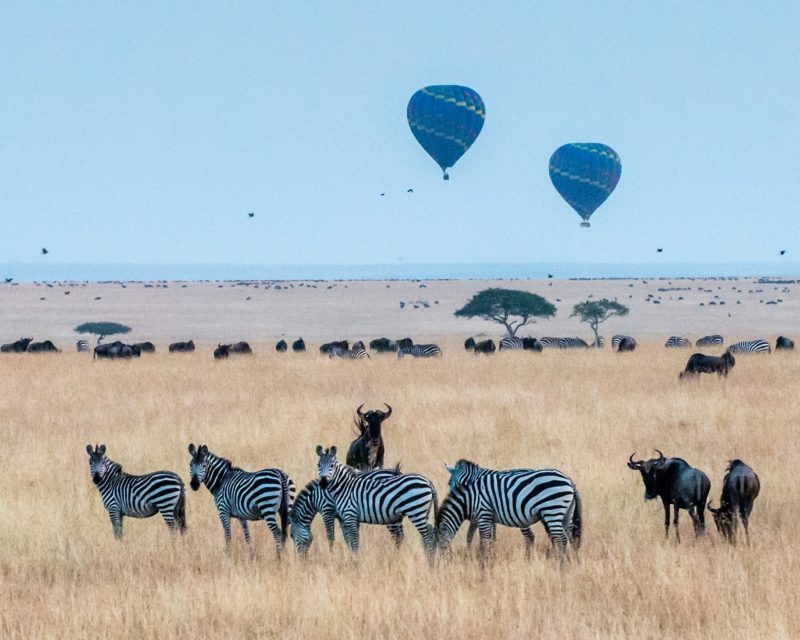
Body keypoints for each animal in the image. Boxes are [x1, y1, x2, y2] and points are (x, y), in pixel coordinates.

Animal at [438, 460, 580, 560]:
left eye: (454, 484)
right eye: (449, 484)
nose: (454, 496)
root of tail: (569, 481)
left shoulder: (483, 512)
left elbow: (480, 536)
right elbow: (475, 535)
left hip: (544, 512)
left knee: (538, 536)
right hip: (560, 514)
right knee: (568, 537)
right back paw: (573, 561)